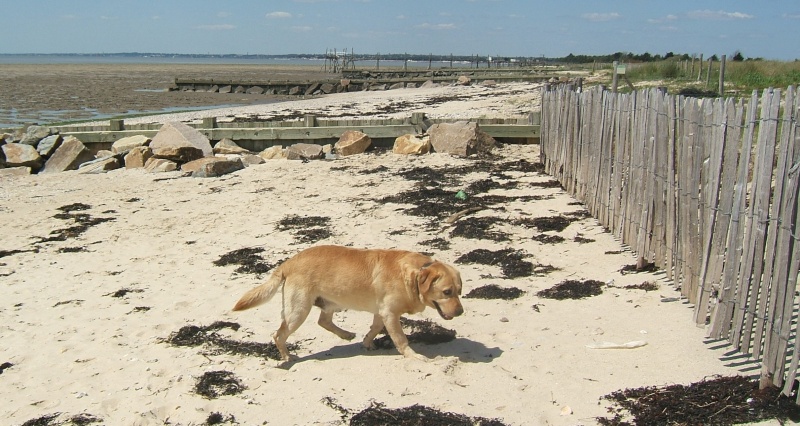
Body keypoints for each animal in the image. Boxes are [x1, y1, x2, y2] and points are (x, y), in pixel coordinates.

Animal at [231, 245, 466, 362]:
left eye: (459, 291)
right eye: (447, 292)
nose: (461, 312)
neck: (413, 276)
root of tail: (288, 263)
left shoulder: (381, 312)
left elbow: (375, 328)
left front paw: (367, 342)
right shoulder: (390, 314)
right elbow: (401, 339)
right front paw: (413, 356)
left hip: (331, 302)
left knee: (323, 321)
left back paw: (346, 334)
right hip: (298, 310)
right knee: (279, 334)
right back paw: (287, 356)